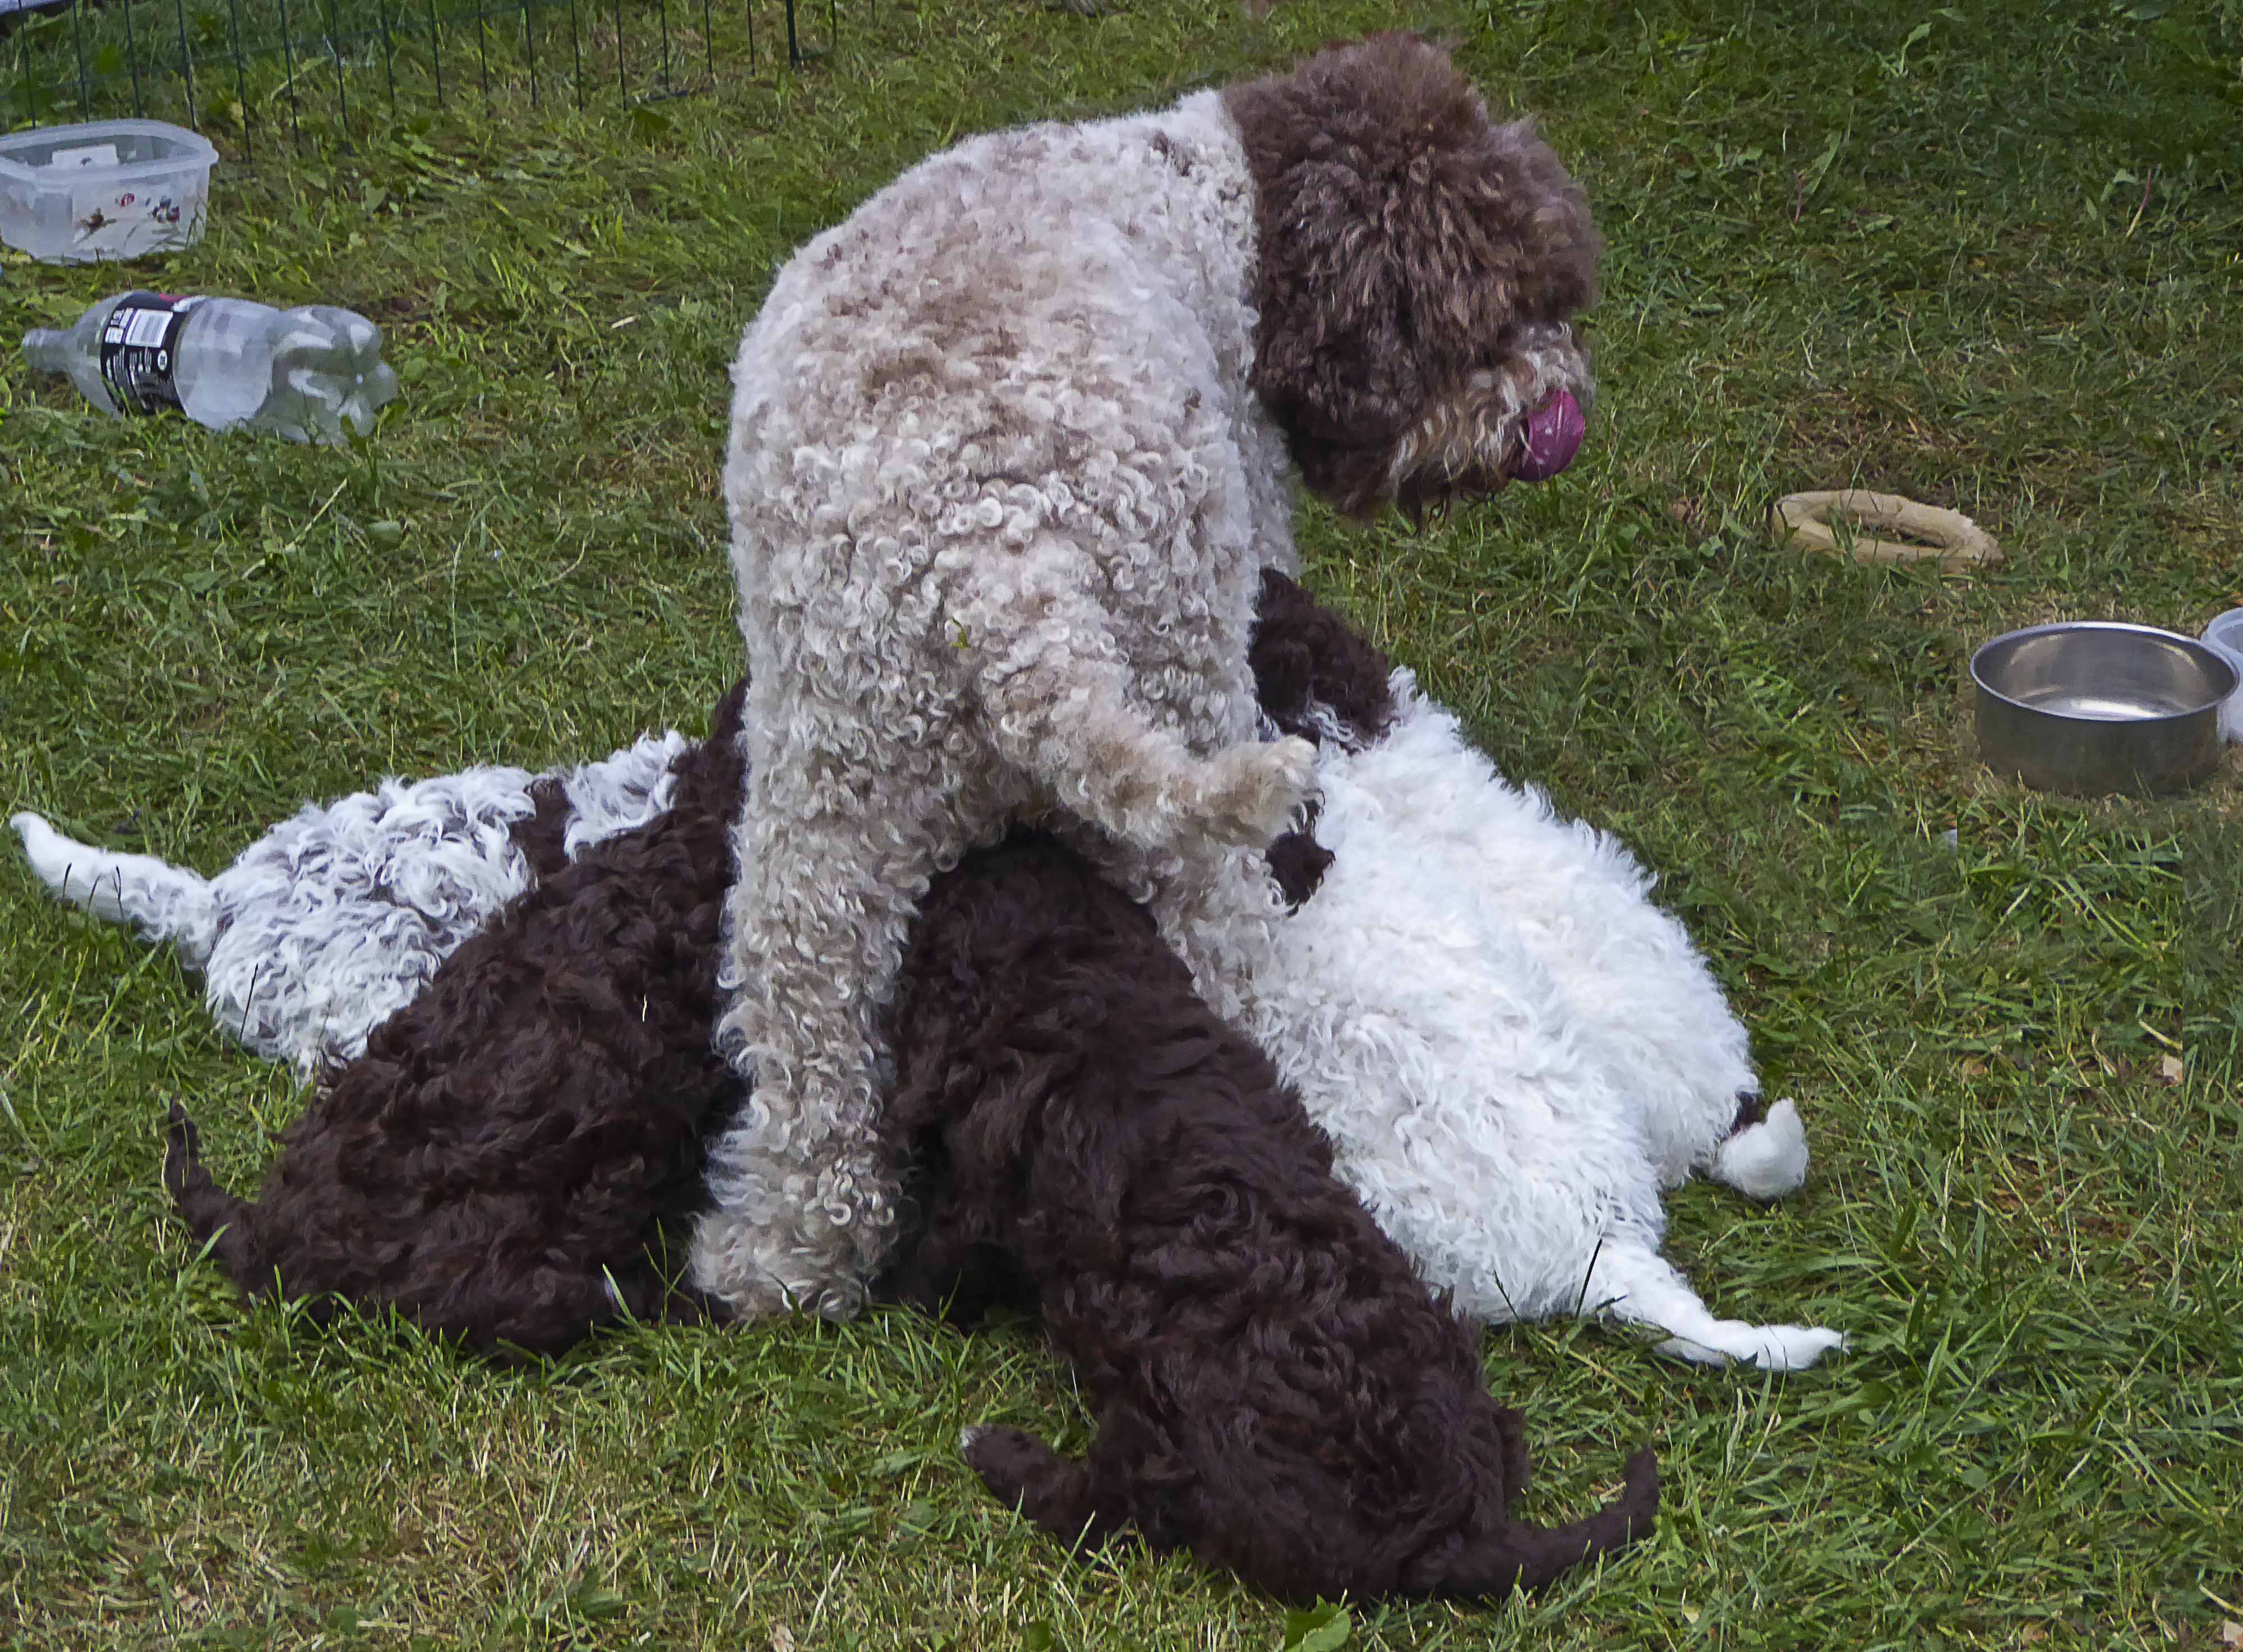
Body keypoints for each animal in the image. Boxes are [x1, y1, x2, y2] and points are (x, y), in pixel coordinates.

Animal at [700, 31, 1604, 1319]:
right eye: (1499, 318)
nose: (1554, 412)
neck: (1218, 197)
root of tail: (999, 557)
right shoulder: (1256, 526)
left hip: (827, 804)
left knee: (809, 1058)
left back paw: (777, 1261)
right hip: (1185, 716)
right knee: (1233, 971)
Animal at [880, 833, 1659, 1602]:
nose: (976, 850)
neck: (1078, 989)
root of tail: (1448, 1533)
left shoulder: (980, 1190)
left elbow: (941, 1266)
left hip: (1178, 1437)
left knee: (1105, 1510)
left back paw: (994, 1449)